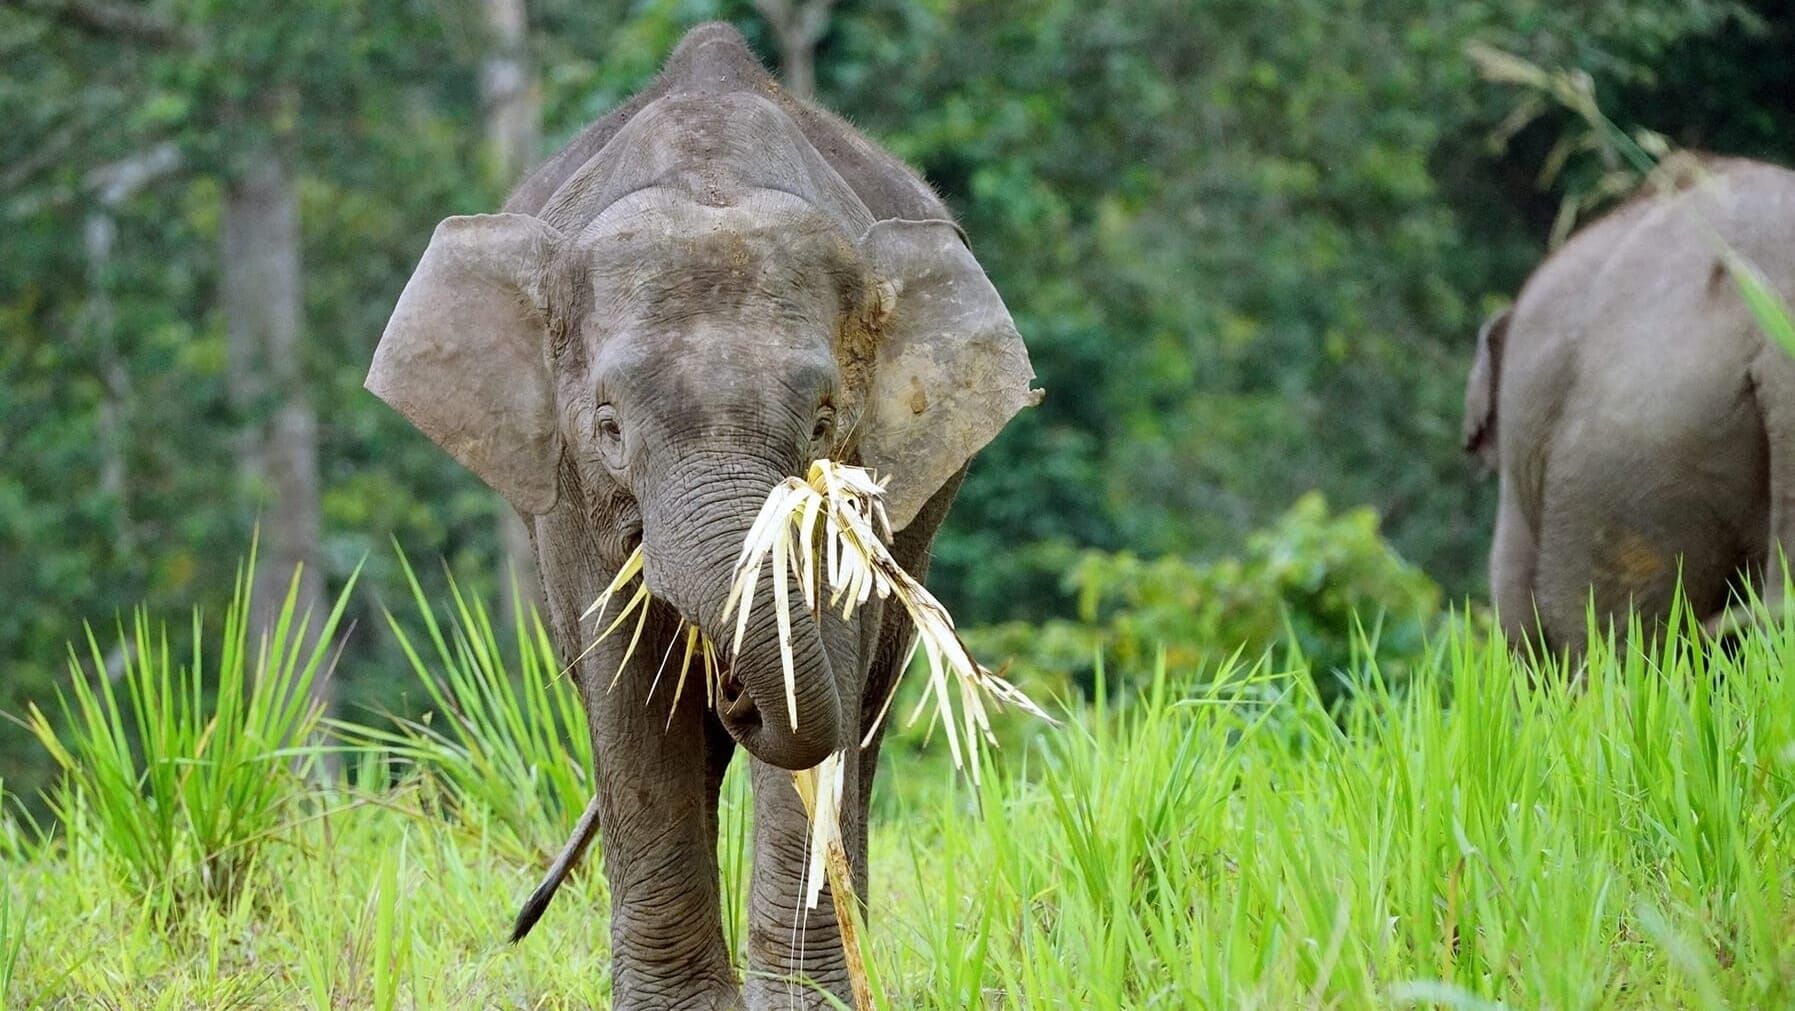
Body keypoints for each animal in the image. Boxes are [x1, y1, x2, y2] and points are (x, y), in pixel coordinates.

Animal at [366, 19, 1041, 1011]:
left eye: (823, 422)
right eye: (609, 427)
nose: (732, 688)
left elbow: (821, 669)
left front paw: (802, 1004)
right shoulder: (569, 489)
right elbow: (631, 693)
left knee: (864, 714)